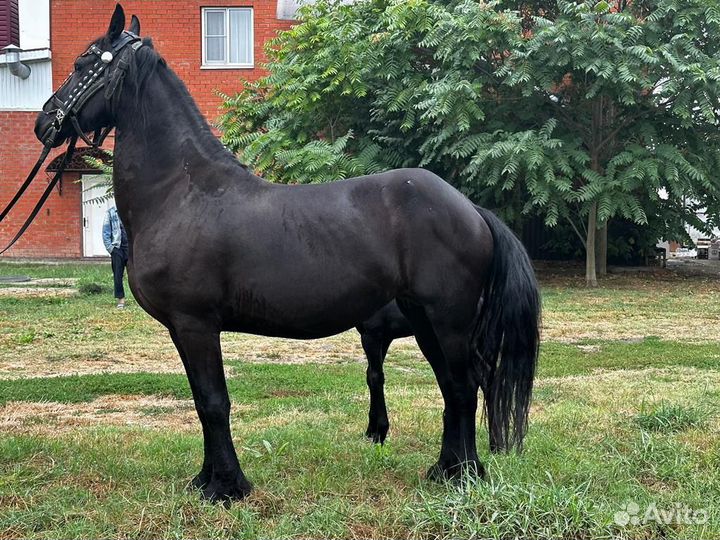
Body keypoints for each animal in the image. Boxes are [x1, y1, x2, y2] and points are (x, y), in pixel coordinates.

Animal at [34, 4, 541, 503]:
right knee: (453, 387)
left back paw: (464, 474)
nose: (44, 122)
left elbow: (214, 402)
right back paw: (447, 471)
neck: (181, 191)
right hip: (423, 319)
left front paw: (227, 488)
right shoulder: (183, 328)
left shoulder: (196, 324)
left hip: (447, 320)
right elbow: (200, 401)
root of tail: (471, 209)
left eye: (81, 63)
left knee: (464, 386)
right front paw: (206, 480)